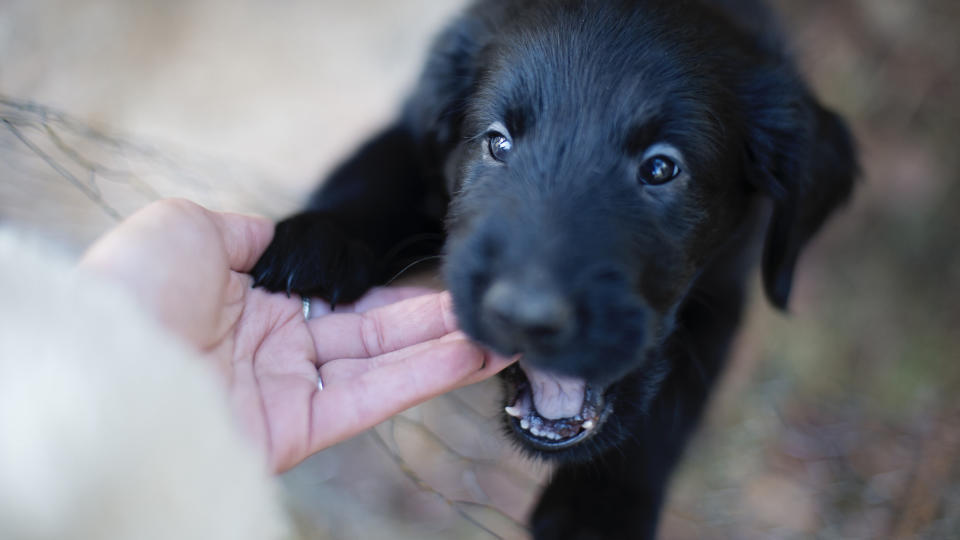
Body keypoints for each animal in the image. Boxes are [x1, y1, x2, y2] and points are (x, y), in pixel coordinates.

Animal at [249, 2, 856, 536]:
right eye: (497, 142)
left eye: (661, 168)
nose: (524, 316)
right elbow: (380, 165)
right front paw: (316, 241)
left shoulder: (726, 287)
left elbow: (669, 401)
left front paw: (596, 513)